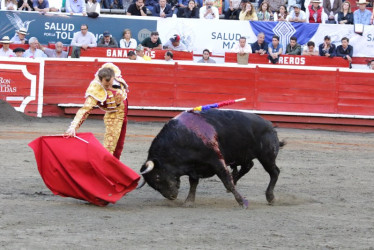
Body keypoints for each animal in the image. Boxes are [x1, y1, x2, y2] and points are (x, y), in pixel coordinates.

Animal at [139, 108, 284, 208]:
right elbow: (193, 183)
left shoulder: (216, 161)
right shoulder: (194, 166)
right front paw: (189, 202)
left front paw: (242, 202)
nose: (171, 196)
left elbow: (226, 180)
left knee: (274, 172)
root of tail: (270, 125)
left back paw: (270, 197)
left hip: (266, 157)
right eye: (152, 184)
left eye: (157, 177)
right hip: (244, 155)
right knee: (248, 166)